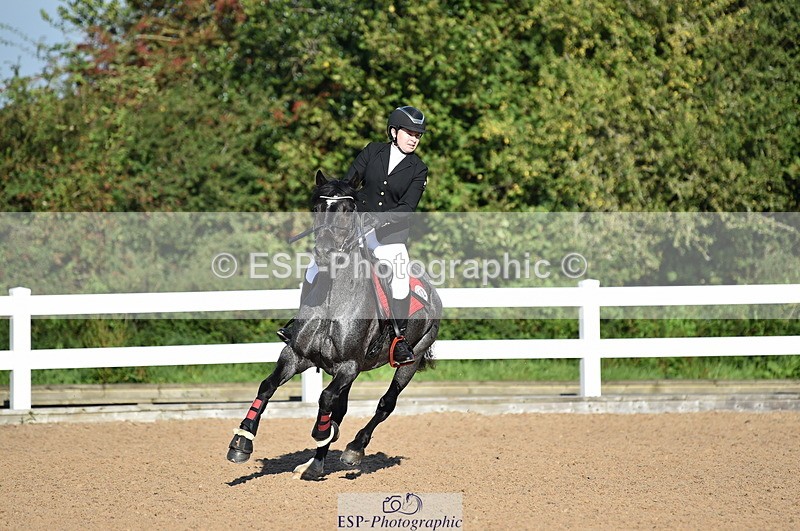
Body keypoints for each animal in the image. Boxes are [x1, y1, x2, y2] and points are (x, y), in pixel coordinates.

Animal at [226, 170, 442, 480]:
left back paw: (353, 449)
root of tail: (432, 292)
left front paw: (322, 432)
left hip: (411, 359)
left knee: (385, 403)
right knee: (341, 407)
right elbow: (268, 386)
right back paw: (314, 464)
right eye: (317, 207)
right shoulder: (296, 355)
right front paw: (242, 441)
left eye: (349, 209)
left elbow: (325, 398)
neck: (332, 299)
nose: (325, 252)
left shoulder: (348, 365)